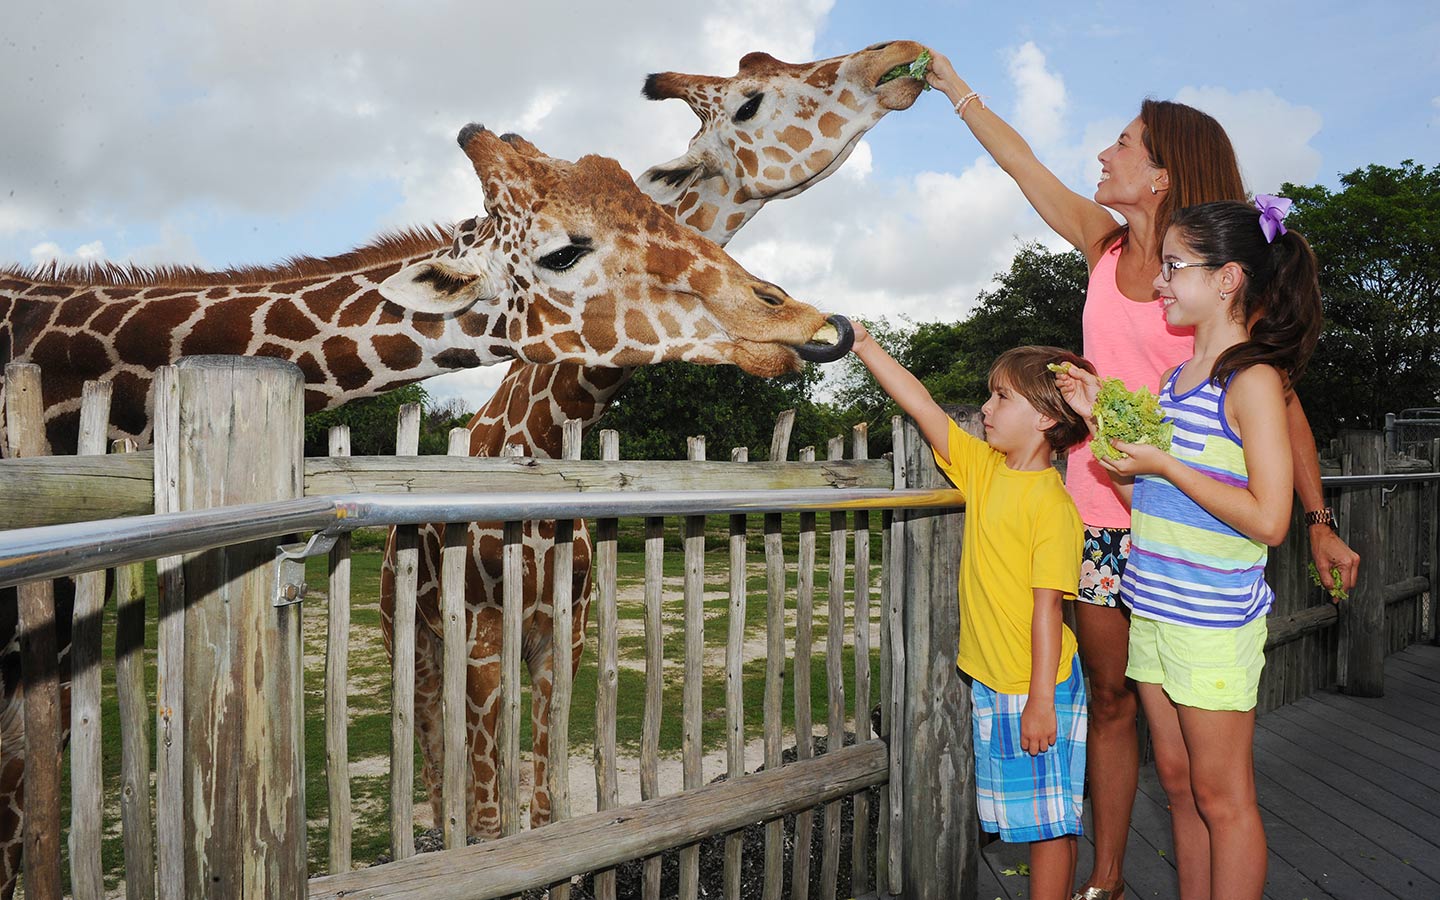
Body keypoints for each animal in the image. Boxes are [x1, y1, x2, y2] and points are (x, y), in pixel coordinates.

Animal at [0, 126, 852, 895]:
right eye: (563, 253)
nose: (809, 322)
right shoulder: (478, 632)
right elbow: (488, 803)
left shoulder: (563, 633)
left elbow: (544, 794)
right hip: (411, 635)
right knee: (437, 745)